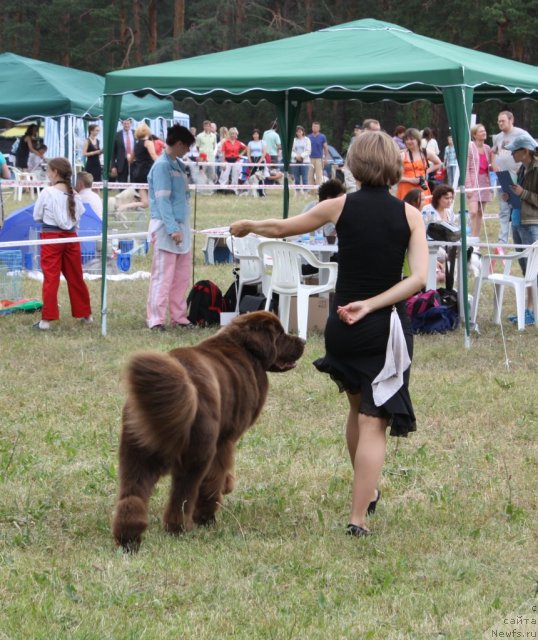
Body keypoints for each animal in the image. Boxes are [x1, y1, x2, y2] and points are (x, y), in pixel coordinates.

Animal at [111, 310, 304, 552]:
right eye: (280, 334)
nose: (303, 341)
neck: (244, 350)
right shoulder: (225, 440)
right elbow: (214, 479)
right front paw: (210, 511)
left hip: (135, 452)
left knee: (132, 495)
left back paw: (128, 540)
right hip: (198, 451)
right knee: (182, 495)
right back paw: (180, 528)